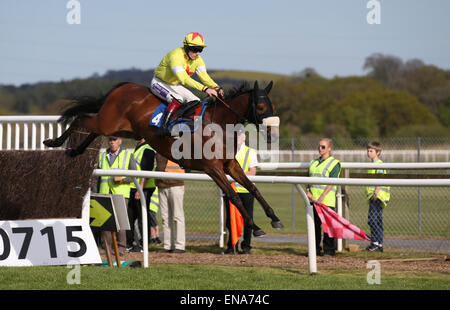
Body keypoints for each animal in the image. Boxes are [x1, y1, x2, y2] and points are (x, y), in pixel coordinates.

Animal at [45, 81, 284, 236]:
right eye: (261, 106)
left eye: (272, 106)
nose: (273, 134)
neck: (220, 124)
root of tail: (124, 86)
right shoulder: (212, 168)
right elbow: (234, 195)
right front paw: (255, 226)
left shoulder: (230, 164)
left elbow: (253, 188)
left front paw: (274, 218)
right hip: (108, 122)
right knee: (81, 118)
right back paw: (55, 142)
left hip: (121, 129)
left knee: (93, 130)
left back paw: (75, 151)